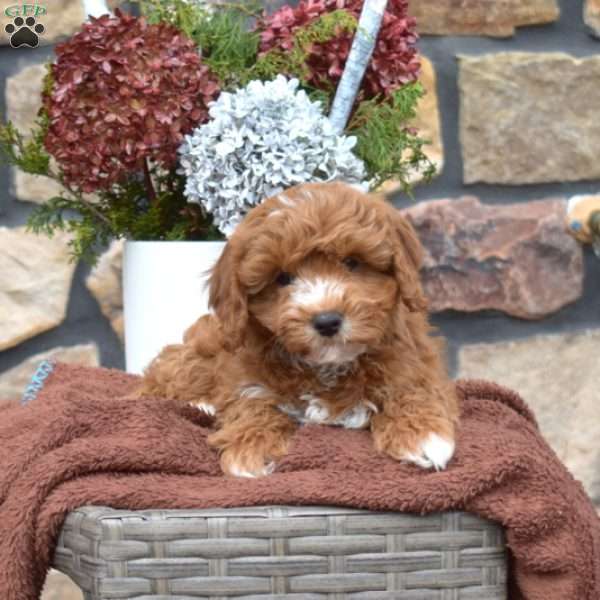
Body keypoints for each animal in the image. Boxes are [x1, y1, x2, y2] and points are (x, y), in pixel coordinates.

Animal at [142, 183, 460, 478]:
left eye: (352, 262)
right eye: (283, 278)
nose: (327, 321)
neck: (327, 366)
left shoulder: (414, 361)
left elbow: (411, 388)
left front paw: (422, 434)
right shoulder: (245, 377)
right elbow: (249, 402)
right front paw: (250, 446)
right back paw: (201, 404)